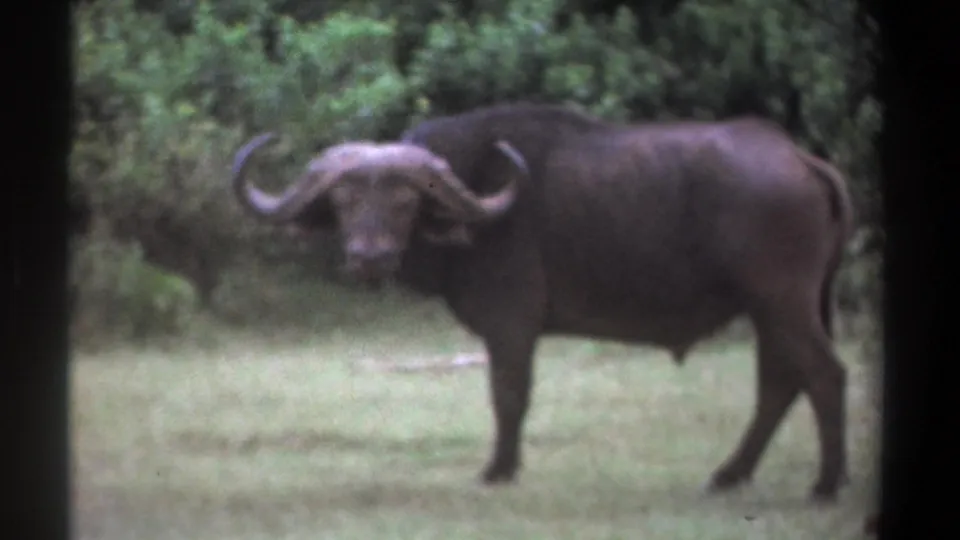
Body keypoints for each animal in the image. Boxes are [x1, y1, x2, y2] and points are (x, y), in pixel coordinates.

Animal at [230, 103, 854, 502]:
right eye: (344, 200)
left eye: (405, 200)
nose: (369, 256)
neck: (480, 210)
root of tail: (800, 157)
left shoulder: (511, 325)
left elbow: (508, 396)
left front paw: (498, 470)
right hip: (773, 310)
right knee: (780, 383)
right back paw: (730, 475)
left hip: (782, 302)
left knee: (823, 374)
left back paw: (825, 484)